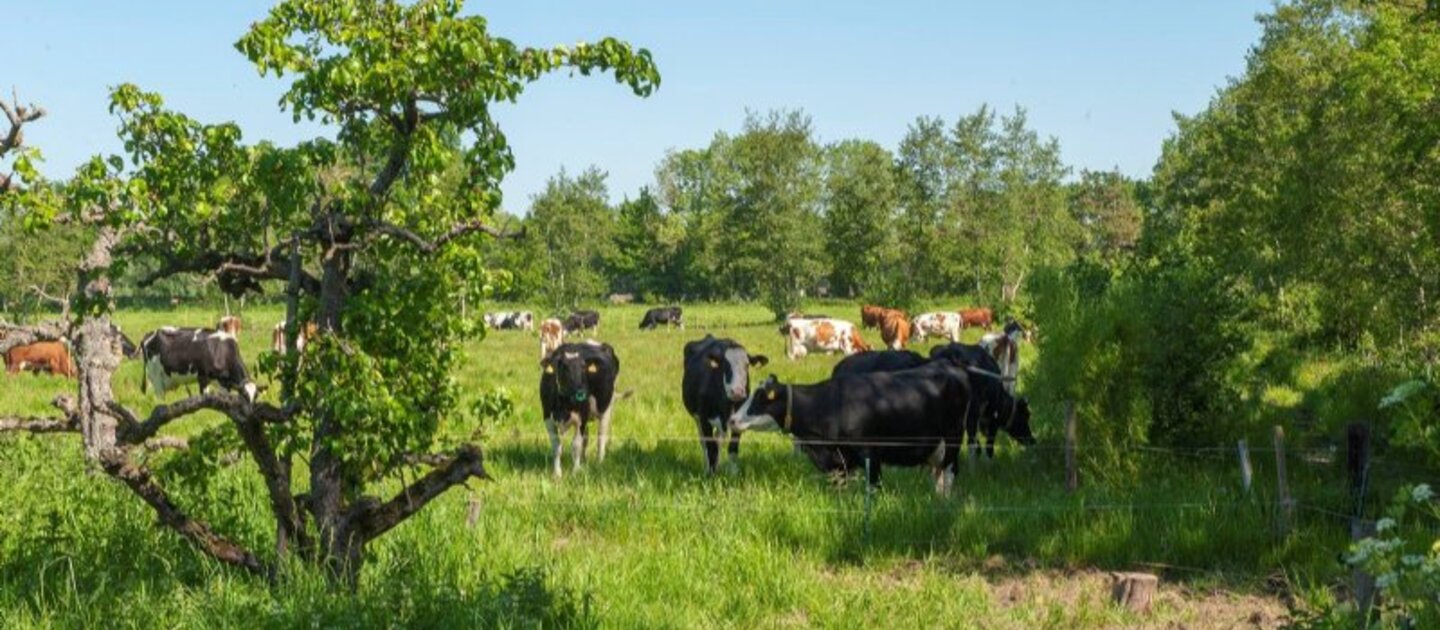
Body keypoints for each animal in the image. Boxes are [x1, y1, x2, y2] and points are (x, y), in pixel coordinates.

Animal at [535, 339, 613, 477]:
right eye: (564, 367)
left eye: (583, 367)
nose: (581, 392)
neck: (563, 405)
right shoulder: (547, 417)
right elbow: (556, 446)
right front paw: (557, 473)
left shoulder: (582, 418)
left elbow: (576, 445)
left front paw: (576, 471)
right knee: (586, 439)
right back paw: (584, 460)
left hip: (606, 408)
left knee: (601, 436)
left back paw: (599, 462)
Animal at [682, 335, 771, 471]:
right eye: (724, 366)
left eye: (747, 365)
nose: (737, 391)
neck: (728, 406)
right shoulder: (704, 420)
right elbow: (711, 448)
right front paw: (711, 474)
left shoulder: (739, 421)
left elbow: (732, 448)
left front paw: (733, 473)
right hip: (697, 418)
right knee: (704, 443)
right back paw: (707, 467)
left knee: (719, 440)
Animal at [731, 366, 979, 494]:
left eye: (761, 399)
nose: (733, 420)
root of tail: (952, 369)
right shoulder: (840, 462)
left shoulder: (870, 455)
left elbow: (873, 489)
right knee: (939, 476)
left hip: (953, 439)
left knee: (949, 473)